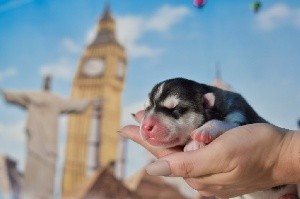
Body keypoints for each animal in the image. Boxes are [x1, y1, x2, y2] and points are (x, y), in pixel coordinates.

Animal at [139, 77, 298, 199]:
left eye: (176, 109)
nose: (146, 126)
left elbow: (222, 123)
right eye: (147, 109)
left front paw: (200, 135)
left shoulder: (239, 115)